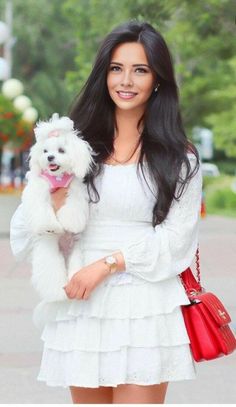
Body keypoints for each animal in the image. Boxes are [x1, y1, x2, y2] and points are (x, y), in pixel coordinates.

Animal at [21, 113, 94, 302]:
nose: (50, 158)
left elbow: (74, 206)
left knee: (75, 268)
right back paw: (57, 292)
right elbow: (41, 208)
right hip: (49, 252)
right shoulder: (39, 190)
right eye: (45, 151)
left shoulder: (75, 189)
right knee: (51, 272)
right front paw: (49, 226)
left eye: (61, 150)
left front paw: (71, 222)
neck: (58, 178)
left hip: (76, 251)